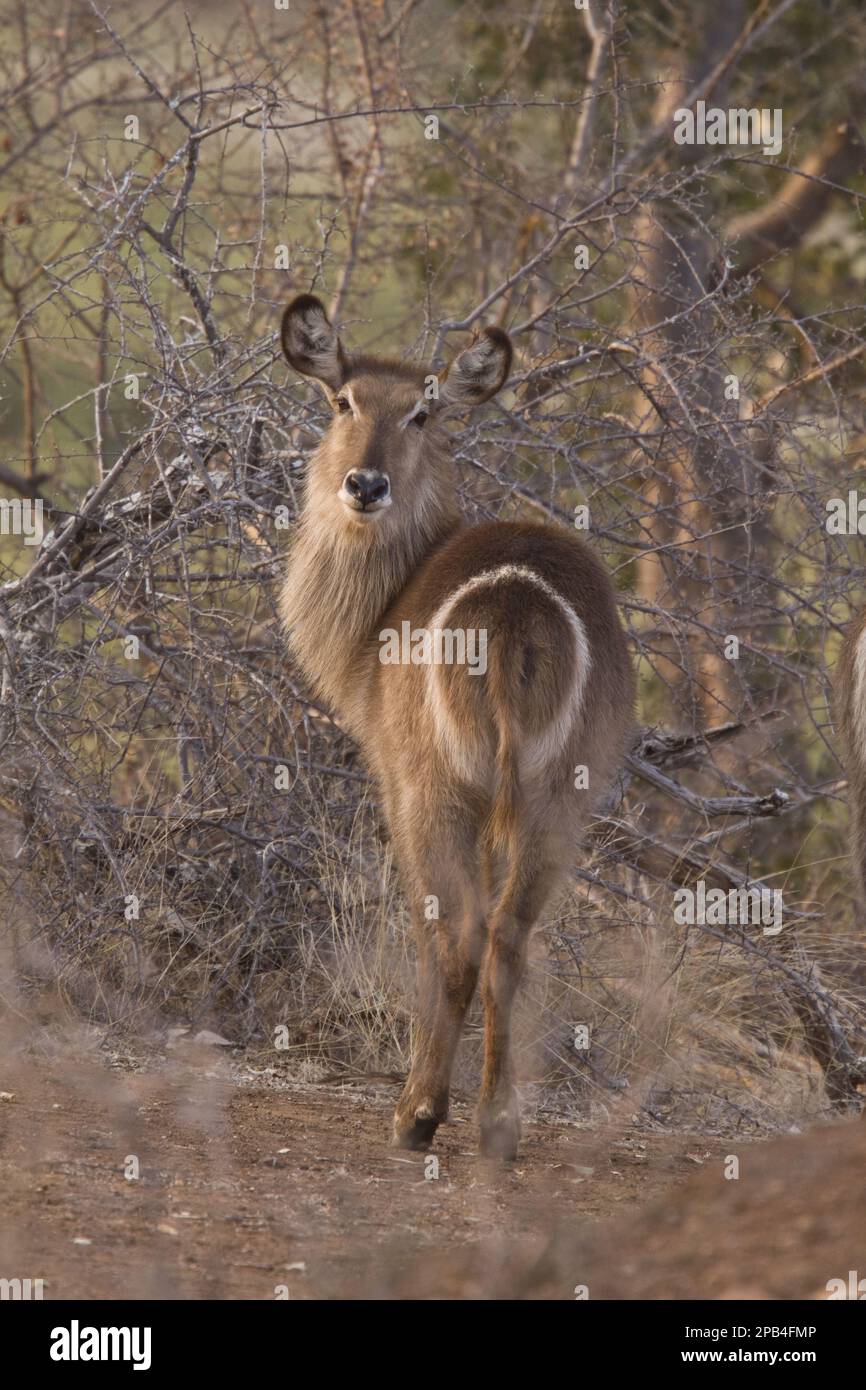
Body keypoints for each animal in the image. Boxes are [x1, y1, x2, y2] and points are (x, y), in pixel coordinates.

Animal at [279, 294, 635, 1159]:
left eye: (422, 412)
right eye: (345, 403)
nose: (365, 483)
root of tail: (517, 606)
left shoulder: (398, 784)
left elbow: (426, 926)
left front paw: (416, 1109)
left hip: (439, 789)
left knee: (460, 934)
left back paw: (418, 1115)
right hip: (557, 798)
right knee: (509, 935)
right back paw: (498, 1124)